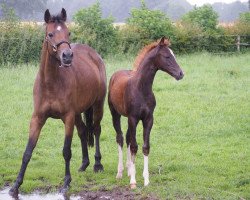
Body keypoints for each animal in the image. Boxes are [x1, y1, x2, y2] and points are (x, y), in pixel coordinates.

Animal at [9, 8, 105, 195]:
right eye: (50, 34)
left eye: (69, 32)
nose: (67, 56)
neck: (51, 83)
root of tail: (94, 55)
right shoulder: (38, 118)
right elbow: (28, 151)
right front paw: (16, 185)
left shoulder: (67, 117)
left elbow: (66, 151)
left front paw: (66, 182)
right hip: (78, 114)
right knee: (83, 131)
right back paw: (84, 164)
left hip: (97, 105)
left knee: (96, 130)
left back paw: (97, 164)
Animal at [107, 36, 184, 188]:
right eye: (167, 56)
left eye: (174, 55)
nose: (180, 74)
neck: (141, 89)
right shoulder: (133, 118)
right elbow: (134, 147)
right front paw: (133, 182)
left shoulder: (148, 119)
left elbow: (145, 147)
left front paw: (146, 179)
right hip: (115, 114)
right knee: (120, 138)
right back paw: (120, 172)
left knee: (128, 138)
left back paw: (129, 169)